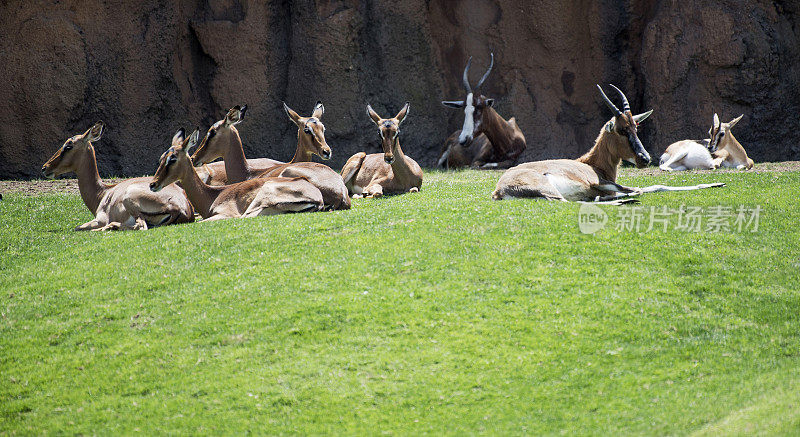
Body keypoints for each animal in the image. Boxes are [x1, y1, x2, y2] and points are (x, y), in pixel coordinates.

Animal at [41, 121, 195, 230]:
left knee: (140, 226)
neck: (103, 192)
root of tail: (181, 207)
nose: (45, 168)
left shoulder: (99, 220)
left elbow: (77, 227)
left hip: (130, 202)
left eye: (68, 146)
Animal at [490, 84, 720, 203]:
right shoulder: (598, 183)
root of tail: (500, 189)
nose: (645, 159)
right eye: (621, 129)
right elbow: (645, 187)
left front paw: (716, 183)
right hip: (552, 190)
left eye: (635, 127)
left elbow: (655, 186)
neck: (589, 163)